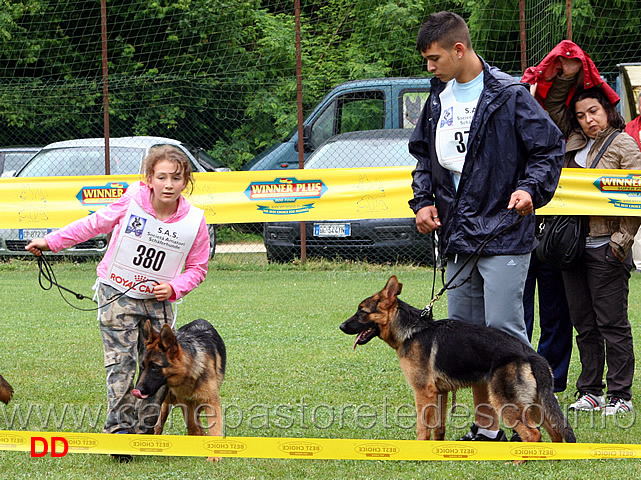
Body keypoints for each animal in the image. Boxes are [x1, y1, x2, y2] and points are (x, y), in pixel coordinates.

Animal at [131, 318, 226, 462]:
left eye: (154, 367)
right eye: (142, 366)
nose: (137, 390)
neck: (190, 372)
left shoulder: (210, 401)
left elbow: (214, 428)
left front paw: (214, 456)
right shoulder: (186, 403)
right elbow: (192, 425)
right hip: (167, 400)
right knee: (159, 423)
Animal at [340, 276, 576, 444]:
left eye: (362, 311)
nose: (341, 326)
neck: (412, 331)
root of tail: (532, 355)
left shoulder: (422, 393)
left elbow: (422, 427)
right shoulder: (440, 393)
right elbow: (438, 427)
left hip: (506, 402)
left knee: (533, 434)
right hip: (536, 403)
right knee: (555, 431)